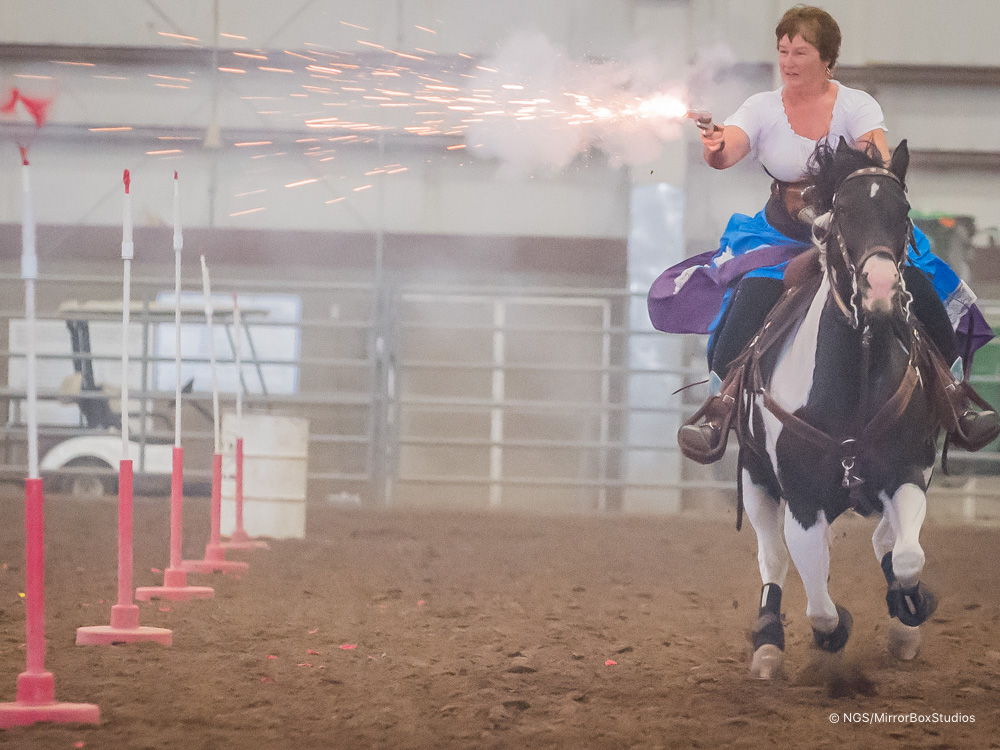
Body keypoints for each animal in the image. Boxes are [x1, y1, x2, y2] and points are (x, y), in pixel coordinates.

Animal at [737, 137, 942, 679]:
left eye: (904, 211)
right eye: (843, 212)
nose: (880, 289)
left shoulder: (907, 471)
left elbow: (907, 557)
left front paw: (909, 610)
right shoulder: (803, 498)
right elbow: (820, 606)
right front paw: (832, 633)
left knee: (887, 542)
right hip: (753, 476)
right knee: (773, 559)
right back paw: (768, 643)